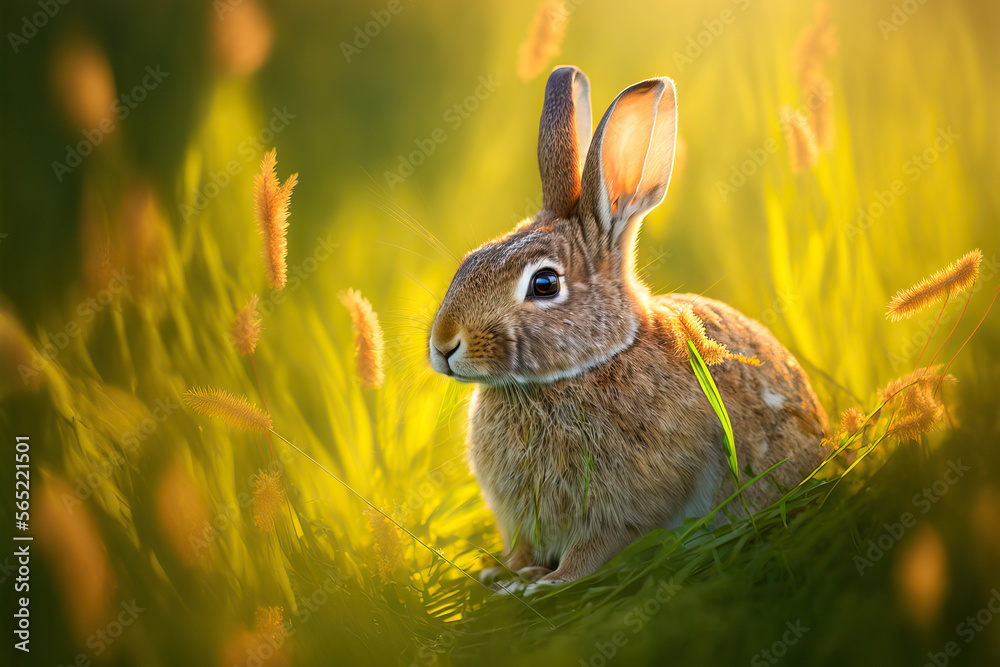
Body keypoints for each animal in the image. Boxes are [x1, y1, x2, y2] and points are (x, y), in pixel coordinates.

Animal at [428, 65, 829, 585]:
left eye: (544, 284)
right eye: (469, 259)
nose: (443, 345)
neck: (592, 362)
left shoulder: (624, 508)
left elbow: (594, 548)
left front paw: (547, 584)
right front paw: (503, 576)